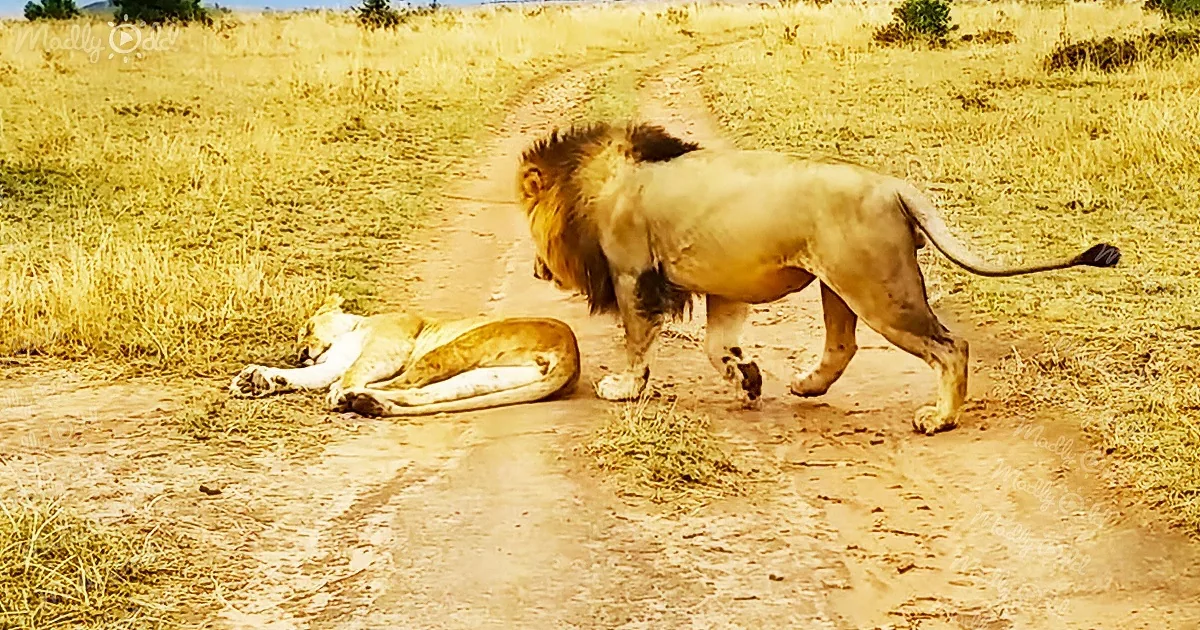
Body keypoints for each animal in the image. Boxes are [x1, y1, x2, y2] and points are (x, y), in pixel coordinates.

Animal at [229, 294, 581, 417]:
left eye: (308, 328)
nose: (301, 352)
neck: (354, 327)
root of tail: (571, 354)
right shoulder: (333, 363)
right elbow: (312, 375)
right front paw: (259, 379)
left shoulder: (389, 345)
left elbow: (352, 370)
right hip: (487, 376)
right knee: (420, 393)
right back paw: (367, 402)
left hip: (456, 347)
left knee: (405, 383)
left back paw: (352, 398)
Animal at [515, 121, 1121, 435]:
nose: (536, 269)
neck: (595, 184)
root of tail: (893, 185)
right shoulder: (723, 287)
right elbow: (717, 346)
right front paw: (747, 379)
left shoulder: (633, 275)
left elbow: (638, 344)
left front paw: (624, 388)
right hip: (841, 284)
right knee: (842, 344)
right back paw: (806, 385)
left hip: (880, 290)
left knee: (952, 346)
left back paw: (940, 418)